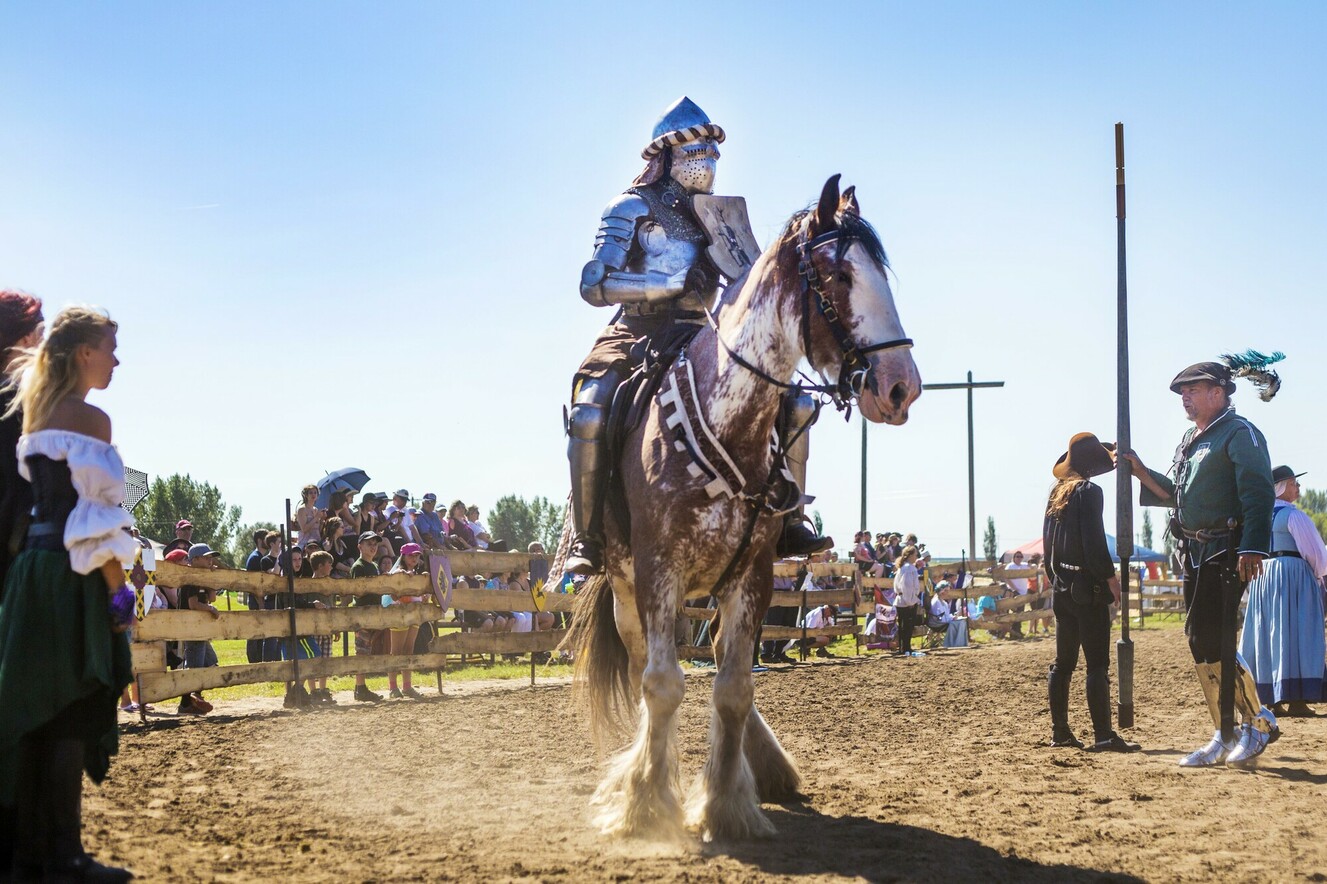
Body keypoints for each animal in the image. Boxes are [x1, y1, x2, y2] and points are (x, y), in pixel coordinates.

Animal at [562, 173, 923, 838]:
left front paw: (726, 805)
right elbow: (661, 685)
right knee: (648, 670)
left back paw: (766, 769)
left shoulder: (752, 573)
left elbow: (733, 688)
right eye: (839, 276)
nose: (899, 386)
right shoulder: (658, 571)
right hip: (626, 585)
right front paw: (646, 804)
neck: (728, 420)